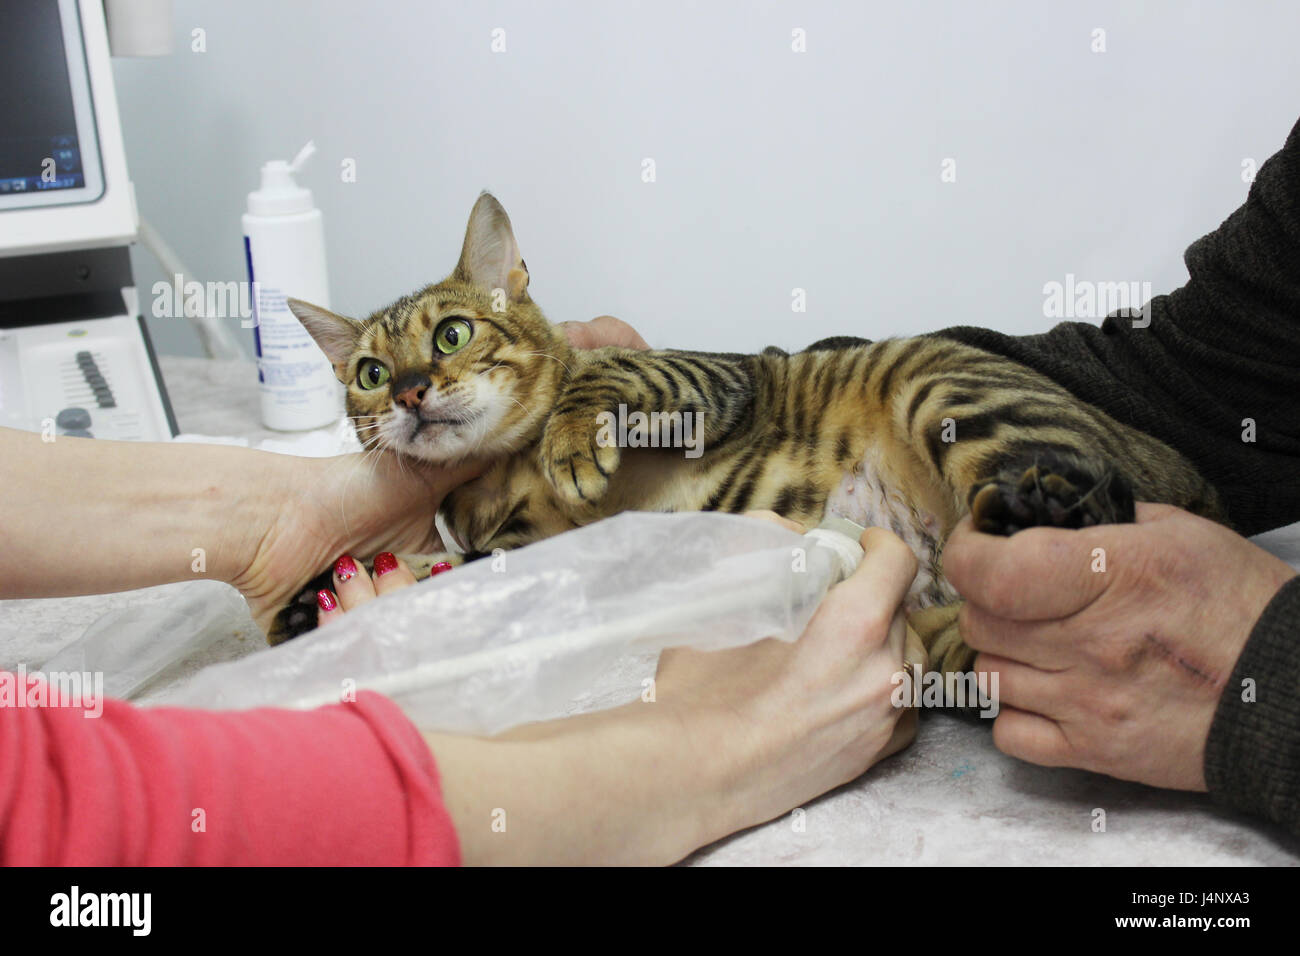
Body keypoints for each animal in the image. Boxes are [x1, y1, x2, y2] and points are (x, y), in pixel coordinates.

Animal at [271, 191, 1216, 676]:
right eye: (368, 373)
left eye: (451, 334)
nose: (410, 391)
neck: (500, 476)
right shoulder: (525, 550)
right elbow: (457, 572)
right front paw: (316, 602)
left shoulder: (711, 381)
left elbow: (609, 381)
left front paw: (571, 441)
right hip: (963, 648)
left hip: (945, 386)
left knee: (1100, 502)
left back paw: (1037, 509)